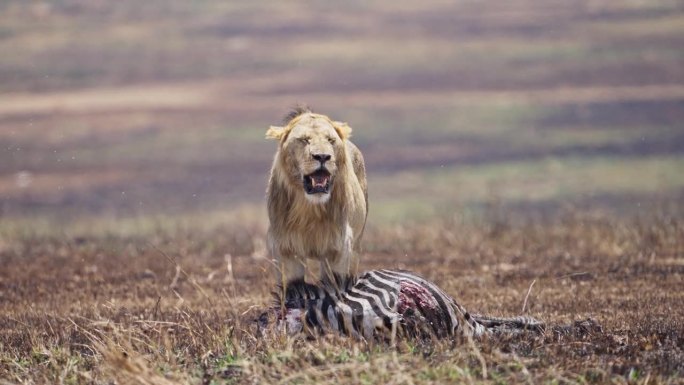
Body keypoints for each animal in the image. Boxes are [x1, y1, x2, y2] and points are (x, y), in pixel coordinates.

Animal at [264, 105, 368, 284]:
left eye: (330, 140)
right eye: (304, 140)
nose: (322, 156)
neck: (310, 209)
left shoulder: (339, 248)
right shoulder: (285, 248)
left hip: (356, 245)